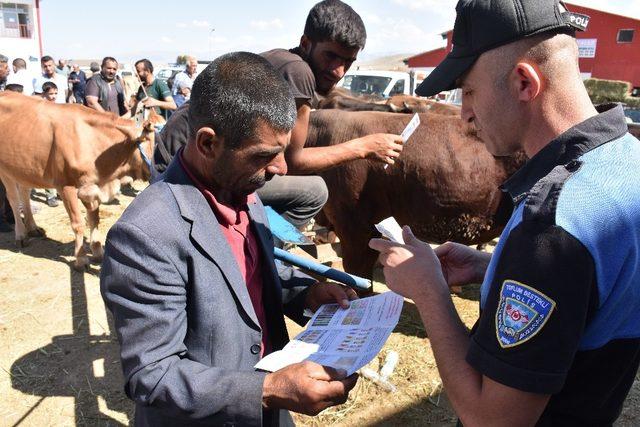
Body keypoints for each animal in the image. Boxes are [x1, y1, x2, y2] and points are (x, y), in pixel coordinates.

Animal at [0, 92, 158, 270]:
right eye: (154, 144)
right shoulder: (65, 186)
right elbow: (78, 223)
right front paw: (81, 258)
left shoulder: (92, 186)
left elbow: (94, 219)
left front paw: (97, 252)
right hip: (5, 170)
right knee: (13, 199)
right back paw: (21, 235)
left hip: (24, 169)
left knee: (25, 192)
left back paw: (33, 228)